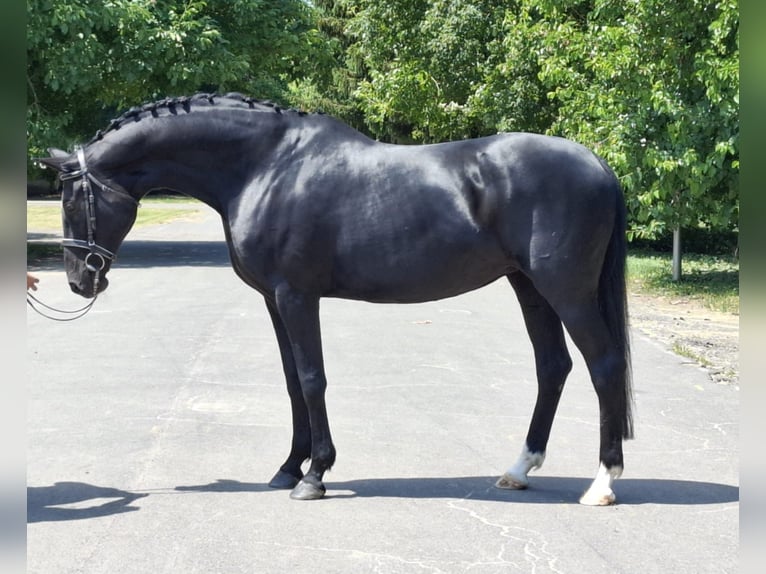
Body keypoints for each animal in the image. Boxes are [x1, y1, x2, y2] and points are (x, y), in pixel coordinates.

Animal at [40, 92, 633, 505]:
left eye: (71, 200)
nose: (78, 282)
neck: (265, 166)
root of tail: (599, 165)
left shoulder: (297, 296)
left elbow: (311, 379)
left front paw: (315, 475)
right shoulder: (274, 300)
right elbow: (290, 383)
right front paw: (289, 468)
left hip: (566, 290)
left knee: (603, 365)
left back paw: (602, 483)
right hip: (528, 287)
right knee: (553, 366)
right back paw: (518, 469)